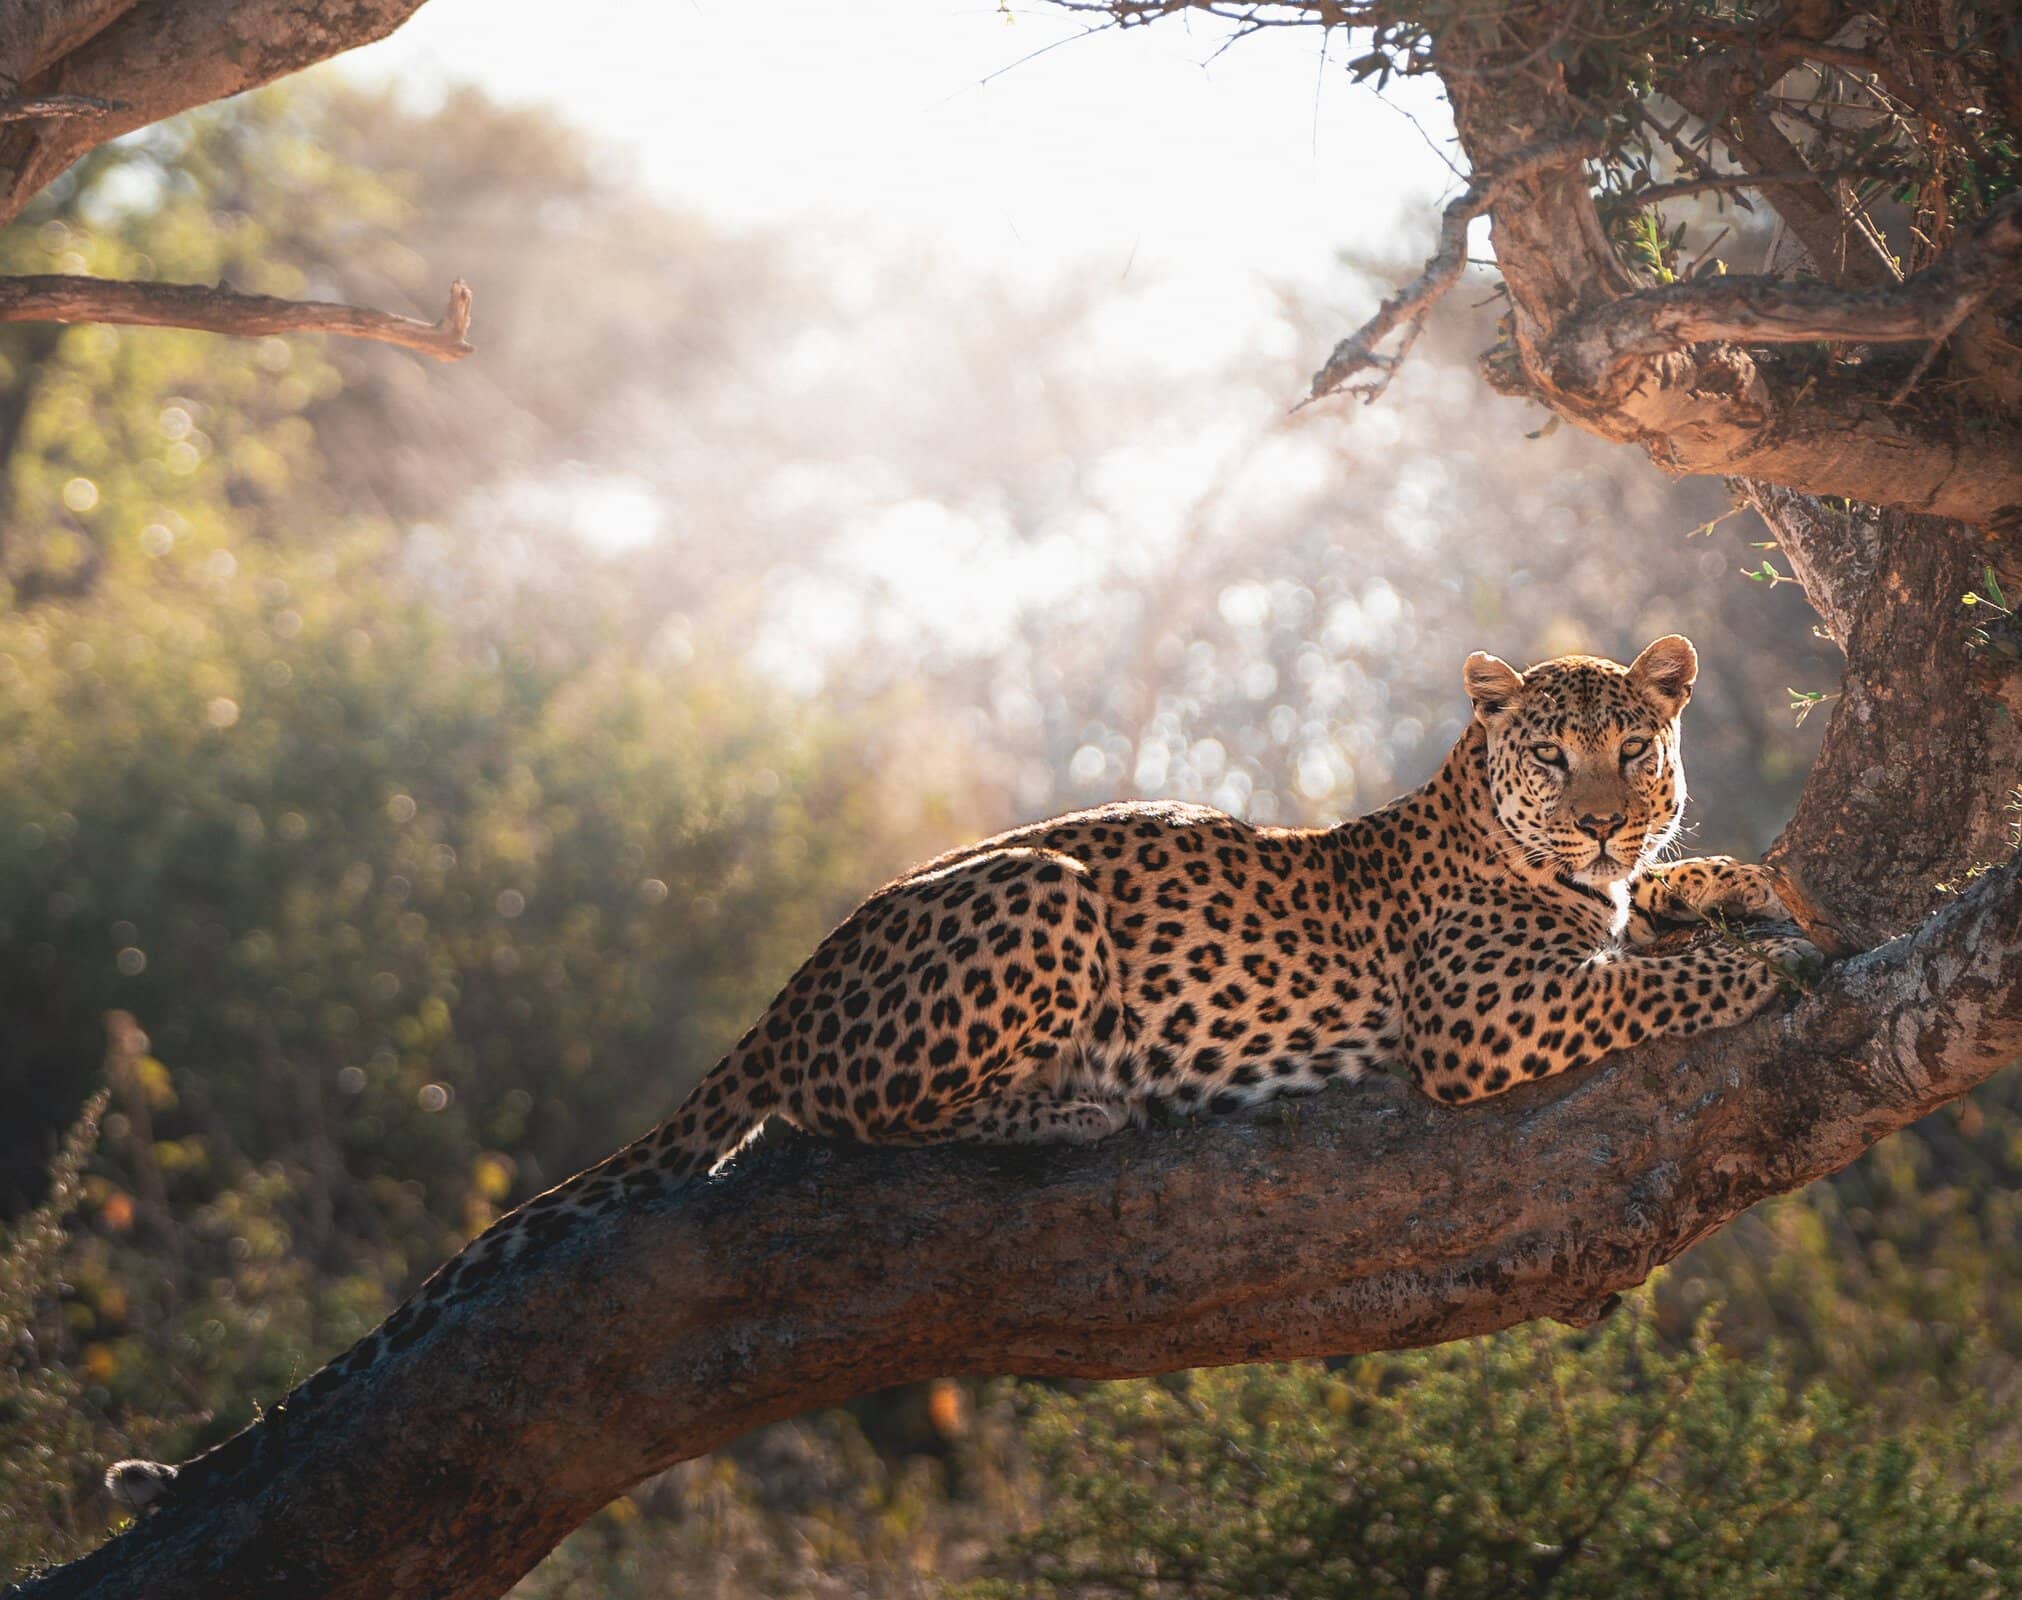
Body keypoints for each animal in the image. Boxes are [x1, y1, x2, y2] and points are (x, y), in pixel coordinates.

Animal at [106, 634, 1812, 1513]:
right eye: (1548, 754)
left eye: (1633, 749)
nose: (1603, 816)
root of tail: (794, 980)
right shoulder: (1482, 1015)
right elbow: (1649, 983)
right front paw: (1759, 961)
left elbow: (1665, 913)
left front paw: (1738, 879)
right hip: (1040, 895)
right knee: (845, 1114)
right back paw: (1082, 1096)